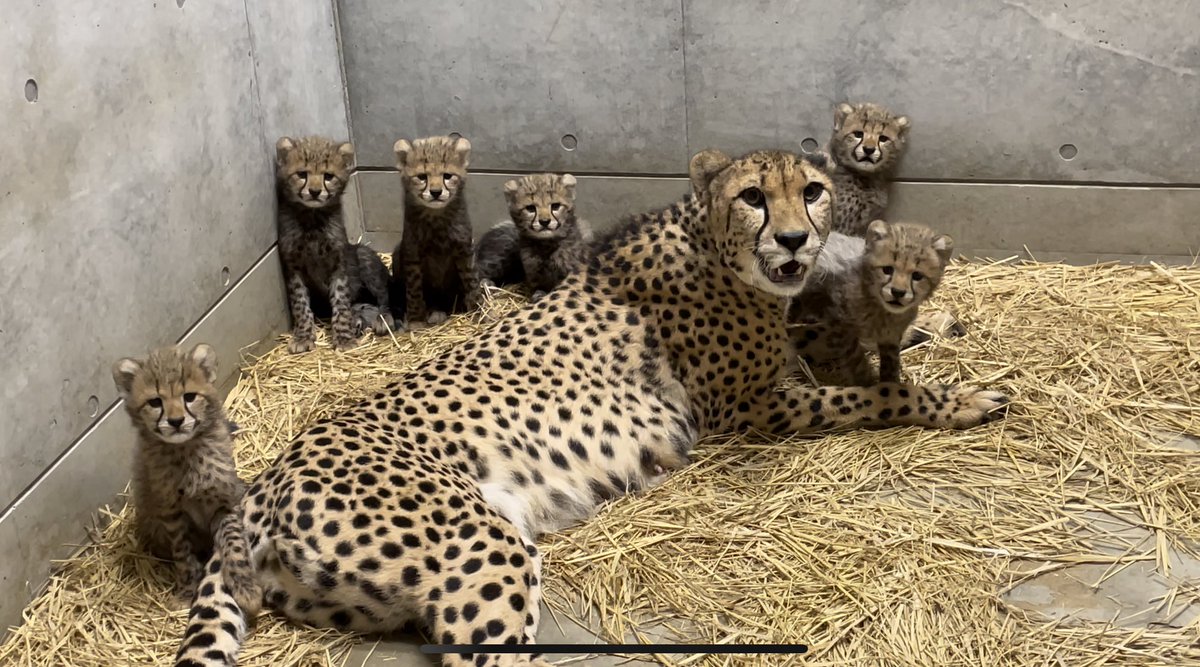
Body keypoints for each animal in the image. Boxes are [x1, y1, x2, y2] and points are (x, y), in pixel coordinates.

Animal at [111, 344, 260, 617]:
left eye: (189, 396)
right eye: (155, 402)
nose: (176, 421)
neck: (184, 451)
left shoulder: (224, 503)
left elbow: (234, 544)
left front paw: (247, 589)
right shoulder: (171, 514)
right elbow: (183, 553)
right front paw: (186, 590)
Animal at [276, 136, 395, 354]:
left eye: (328, 176)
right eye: (302, 174)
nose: (315, 192)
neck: (312, 219)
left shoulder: (338, 264)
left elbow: (341, 303)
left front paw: (344, 338)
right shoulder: (293, 267)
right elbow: (300, 304)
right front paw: (303, 335)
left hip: (364, 257)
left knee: (384, 295)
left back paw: (384, 319)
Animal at [390, 135, 481, 328]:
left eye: (447, 176)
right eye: (421, 177)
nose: (436, 192)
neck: (437, 215)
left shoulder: (465, 250)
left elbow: (471, 282)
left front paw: (481, 311)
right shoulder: (413, 254)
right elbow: (414, 289)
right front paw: (416, 320)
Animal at [787, 220, 954, 386]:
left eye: (917, 276)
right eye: (887, 269)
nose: (897, 292)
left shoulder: (891, 336)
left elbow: (891, 361)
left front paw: (891, 384)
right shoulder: (840, 327)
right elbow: (856, 360)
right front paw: (867, 383)